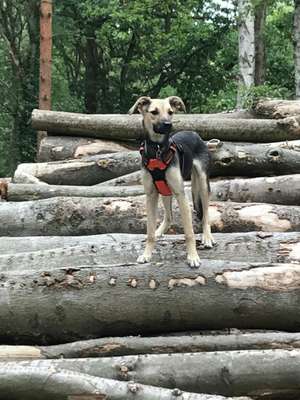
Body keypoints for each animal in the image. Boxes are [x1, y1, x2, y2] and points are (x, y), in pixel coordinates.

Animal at [127, 95, 214, 268]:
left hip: (202, 181)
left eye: (171, 112)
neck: (158, 150)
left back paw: (207, 237)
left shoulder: (181, 195)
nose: (168, 125)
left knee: (206, 214)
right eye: (154, 112)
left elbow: (189, 233)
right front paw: (146, 254)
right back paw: (159, 231)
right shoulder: (151, 195)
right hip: (165, 190)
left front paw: (193, 257)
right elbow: (149, 231)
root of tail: (195, 134)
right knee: (169, 217)